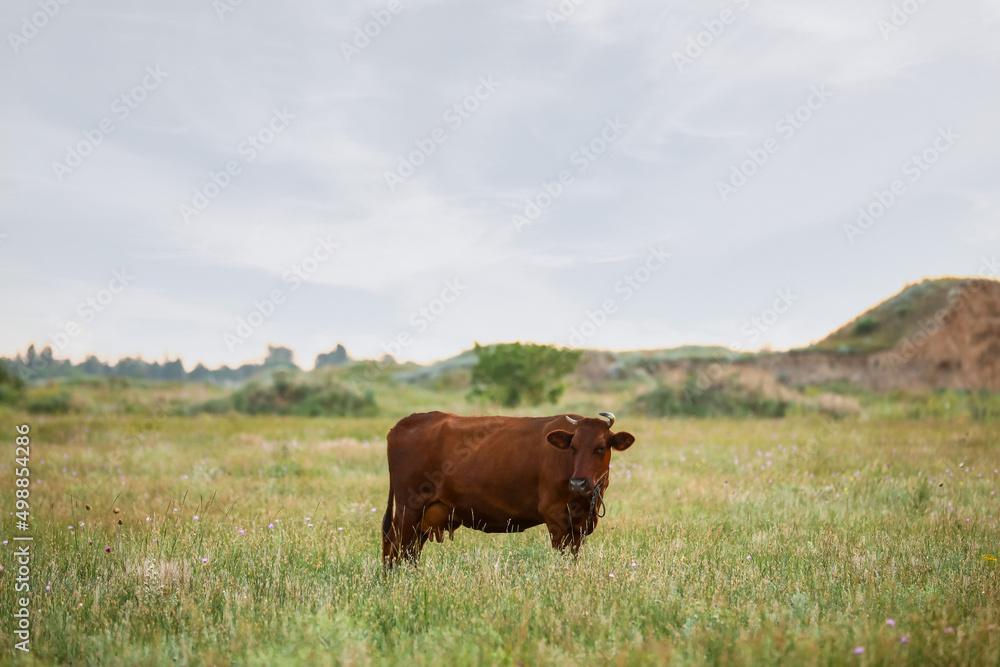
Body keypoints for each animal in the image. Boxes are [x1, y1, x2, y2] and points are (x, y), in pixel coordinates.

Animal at [382, 410, 632, 568]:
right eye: (573, 447)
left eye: (601, 447)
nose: (578, 482)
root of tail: (407, 421)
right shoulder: (555, 516)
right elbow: (561, 554)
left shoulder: (581, 524)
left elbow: (574, 556)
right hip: (408, 508)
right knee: (393, 547)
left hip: (426, 515)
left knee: (410, 551)